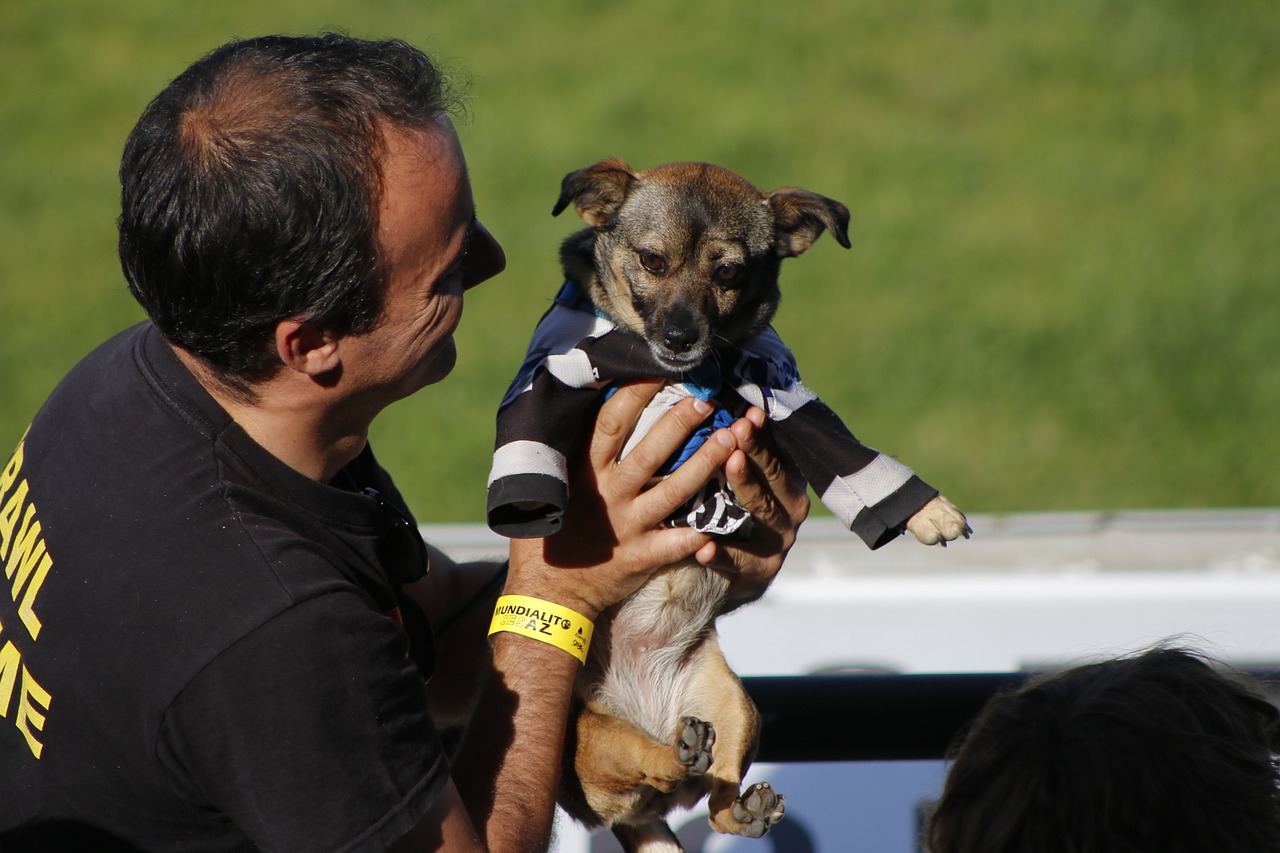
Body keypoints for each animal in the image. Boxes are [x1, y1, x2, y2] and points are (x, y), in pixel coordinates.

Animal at [488, 156, 967, 845]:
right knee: (653, 764)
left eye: (728, 273)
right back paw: (675, 753)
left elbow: (847, 452)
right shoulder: (556, 376)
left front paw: (930, 512)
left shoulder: (784, 396)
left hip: (736, 706)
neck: (678, 373)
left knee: (712, 795)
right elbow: (530, 437)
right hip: (593, 736)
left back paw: (738, 800)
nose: (680, 335)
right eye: (652, 261)